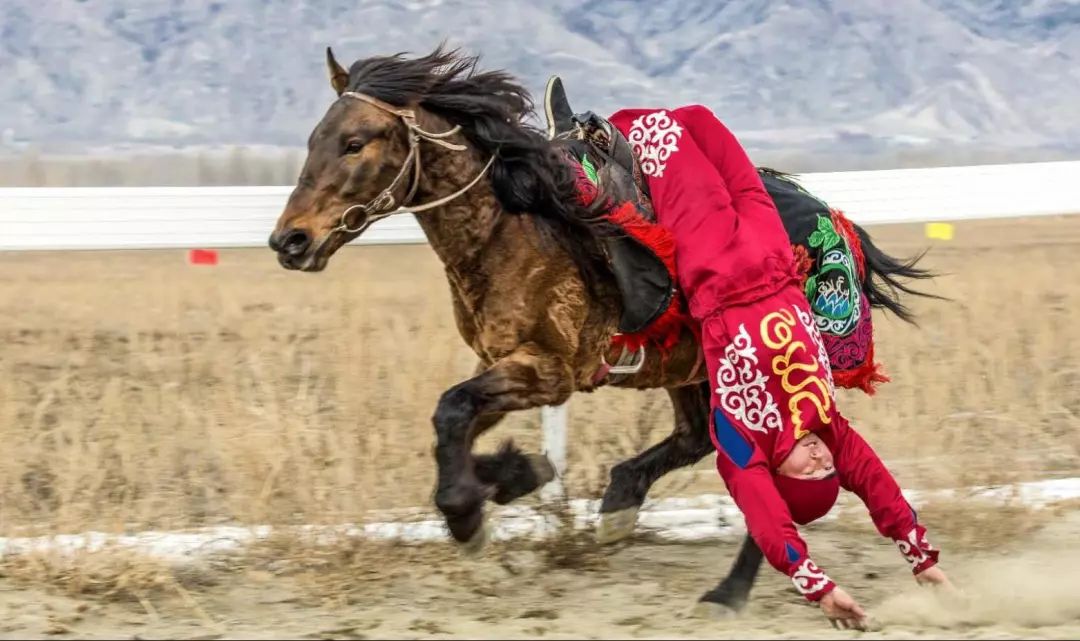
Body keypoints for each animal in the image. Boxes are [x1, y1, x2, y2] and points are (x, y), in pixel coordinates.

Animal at [265, 42, 933, 612]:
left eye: (354, 142)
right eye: (314, 140)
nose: (290, 241)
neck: (512, 226)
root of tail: (838, 222)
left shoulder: (550, 371)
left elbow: (451, 410)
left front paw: (467, 515)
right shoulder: (502, 363)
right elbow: (455, 423)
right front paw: (514, 476)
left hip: (770, 368)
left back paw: (730, 590)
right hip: (694, 369)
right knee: (697, 438)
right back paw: (620, 502)